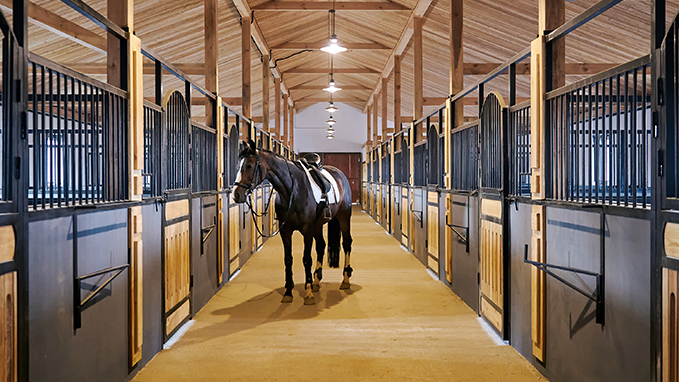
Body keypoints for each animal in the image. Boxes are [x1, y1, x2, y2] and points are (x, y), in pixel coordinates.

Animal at [231, 140, 354, 304]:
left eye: (250, 165)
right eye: (238, 166)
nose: (236, 194)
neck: (292, 191)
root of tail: (340, 174)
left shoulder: (307, 230)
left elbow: (306, 259)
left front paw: (308, 294)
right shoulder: (286, 231)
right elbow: (288, 259)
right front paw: (288, 292)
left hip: (343, 217)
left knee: (346, 243)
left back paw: (345, 280)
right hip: (318, 225)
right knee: (321, 246)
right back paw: (316, 282)